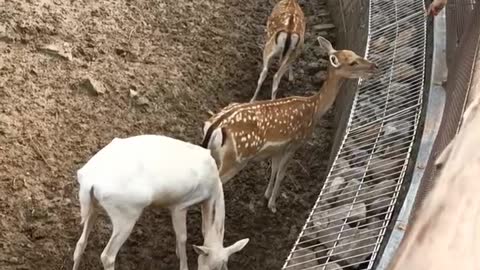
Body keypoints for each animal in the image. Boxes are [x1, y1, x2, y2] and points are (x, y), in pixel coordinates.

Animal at [72, 134, 249, 270]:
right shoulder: (180, 205)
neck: (213, 188)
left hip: (94, 206)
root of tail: (89, 181)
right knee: (107, 256)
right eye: (210, 266)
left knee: (80, 243)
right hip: (126, 215)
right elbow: (183, 236)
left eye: (222, 265)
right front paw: (183, 264)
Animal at [201, 36, 376, 213]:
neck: (314, 109)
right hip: (236, 159)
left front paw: (266, 195)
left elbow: (274, 170)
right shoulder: (294, 143)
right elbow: (281, 174)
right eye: (352, 62)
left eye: (355, 53)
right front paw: (272, 205)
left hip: (216, 154)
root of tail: (215, 126)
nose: (374, 66)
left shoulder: (278, 149)